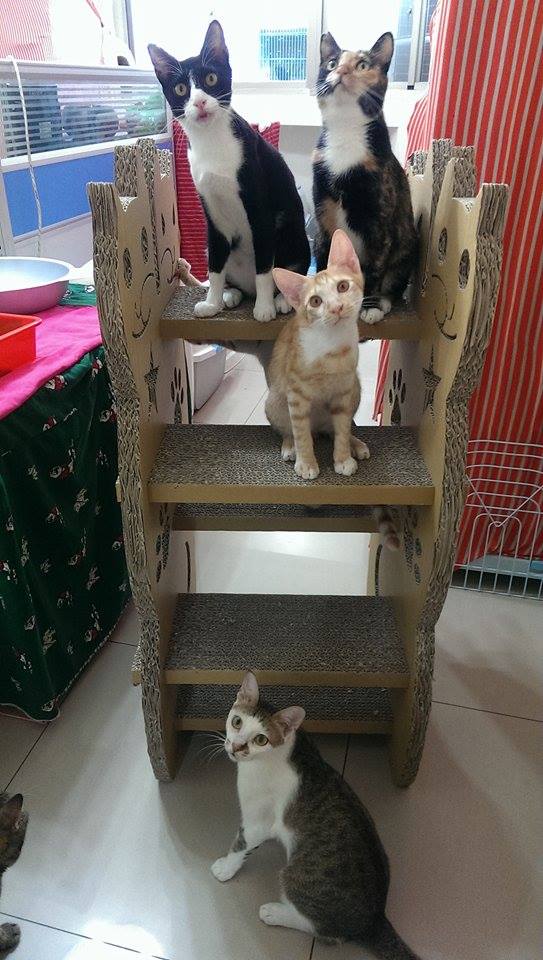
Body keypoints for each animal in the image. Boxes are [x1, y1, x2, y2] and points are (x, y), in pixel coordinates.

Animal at [149, 21, 310, 323]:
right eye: (180, 88)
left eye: (211, 79)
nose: (199, 102)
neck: (212, 142)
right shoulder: (211, 211)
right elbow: (215, 265)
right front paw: (212, 302)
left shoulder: (260, 209)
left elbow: (264, 265)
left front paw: (264, 308)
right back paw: (230, 294)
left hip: (292, 236)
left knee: (291, 268)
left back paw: (280, 299)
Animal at [211, 672, 421, 959]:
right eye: (237, 721)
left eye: (261, 740)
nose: (236, 746)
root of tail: (375, 919)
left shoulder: (258, 820)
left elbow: (240, 843)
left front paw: (225, 868)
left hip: (295, 877)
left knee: (327, 932)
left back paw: (275, 912)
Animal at [265, 228, 369, 480]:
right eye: (315, 301)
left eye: (343, 287)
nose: (336, 308)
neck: (332, 348)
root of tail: (319, 428)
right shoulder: (296, 394)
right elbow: (300, 431)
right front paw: (306, 463)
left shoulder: (344, 391)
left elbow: (342, 427)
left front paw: (342, 458)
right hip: (275, 400)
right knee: (289, 428)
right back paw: (289, 445)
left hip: (356, 388)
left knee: (335, 429)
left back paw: (355, 443)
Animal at [313, 31, 417, 324]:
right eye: (332, 63)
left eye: (362, 65)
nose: (341, 71)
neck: (345, 133)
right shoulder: (323, 215)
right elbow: (324, 256)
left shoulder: (379, 225)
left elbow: (374, 267)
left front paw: (368, 307)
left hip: (407, 246)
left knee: (393, 282)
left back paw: (382, 303)